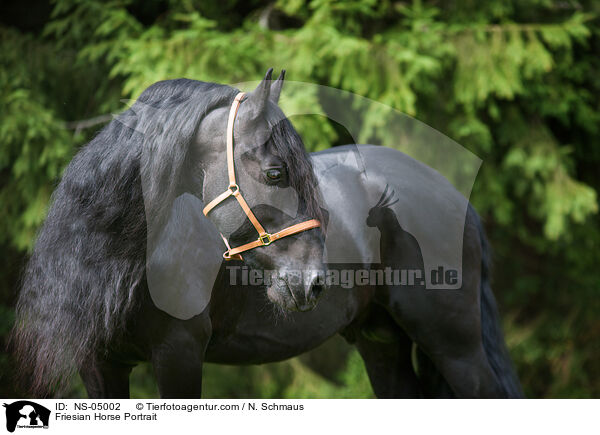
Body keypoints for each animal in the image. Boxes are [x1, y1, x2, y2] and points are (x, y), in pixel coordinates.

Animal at [11, 71, 524, 398]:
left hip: (455, 346)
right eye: (276, 173)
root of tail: (451, 192)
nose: (313, 283)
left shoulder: (179, 354)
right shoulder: (99, 366)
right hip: (381, 340)